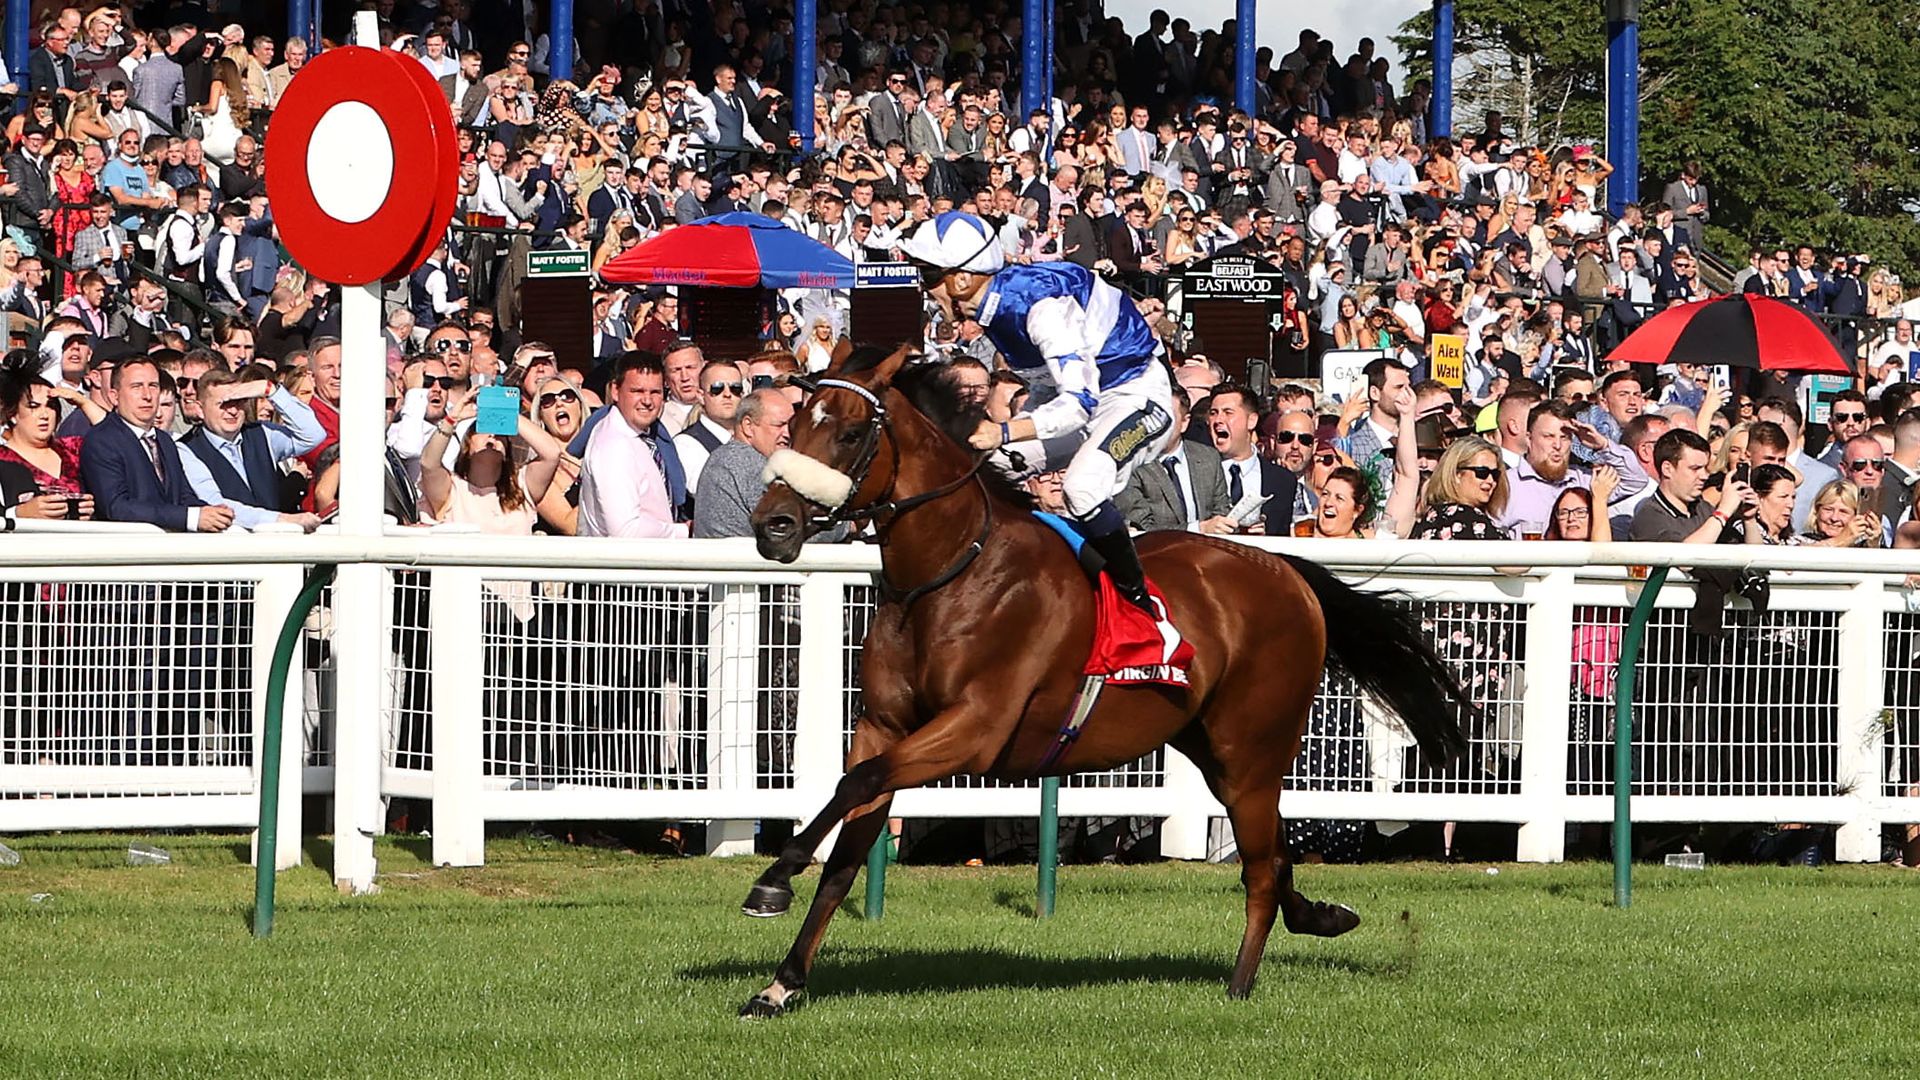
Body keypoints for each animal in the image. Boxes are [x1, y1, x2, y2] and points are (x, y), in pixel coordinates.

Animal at [737, 342, 1466, 1006]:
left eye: (850, 431)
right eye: (792, 423)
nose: (773, 523)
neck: (950, 571)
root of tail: (1286, 570)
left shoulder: (973, 729)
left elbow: (853, 786)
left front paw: (773, 879)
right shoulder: (885, 726)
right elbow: (847, 840)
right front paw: (782, 983)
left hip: (1252, 750)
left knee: (1262, 868)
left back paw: (1238, 987)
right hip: (1210, 745)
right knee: (1276, 857)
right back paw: (1321, 916)